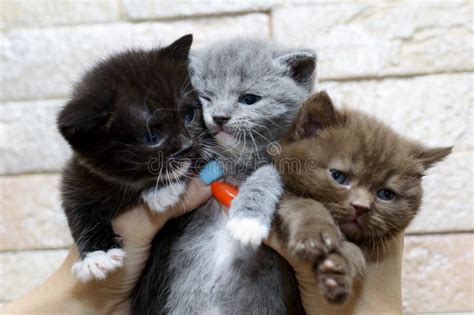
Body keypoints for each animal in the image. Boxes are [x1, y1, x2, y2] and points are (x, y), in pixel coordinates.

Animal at [57, 35, 206, 284]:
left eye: (189, 115)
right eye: (151, 137)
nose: (187, 146)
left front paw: (162, 190)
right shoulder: (77, 177)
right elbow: (77, 210)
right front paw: (97, 256)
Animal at [131, 39, 316, 315]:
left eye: (249, 99)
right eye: (206, 97)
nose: (219, 117)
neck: (235, 160)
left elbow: (268, 174)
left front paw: (248, 220)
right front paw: (161, 189)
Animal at [272, 91, 450, 304]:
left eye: (386, 194)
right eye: (338, 176)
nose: (361, 207)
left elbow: (357, 253)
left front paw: (340, 270)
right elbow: (303, 203)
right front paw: (315, 234)